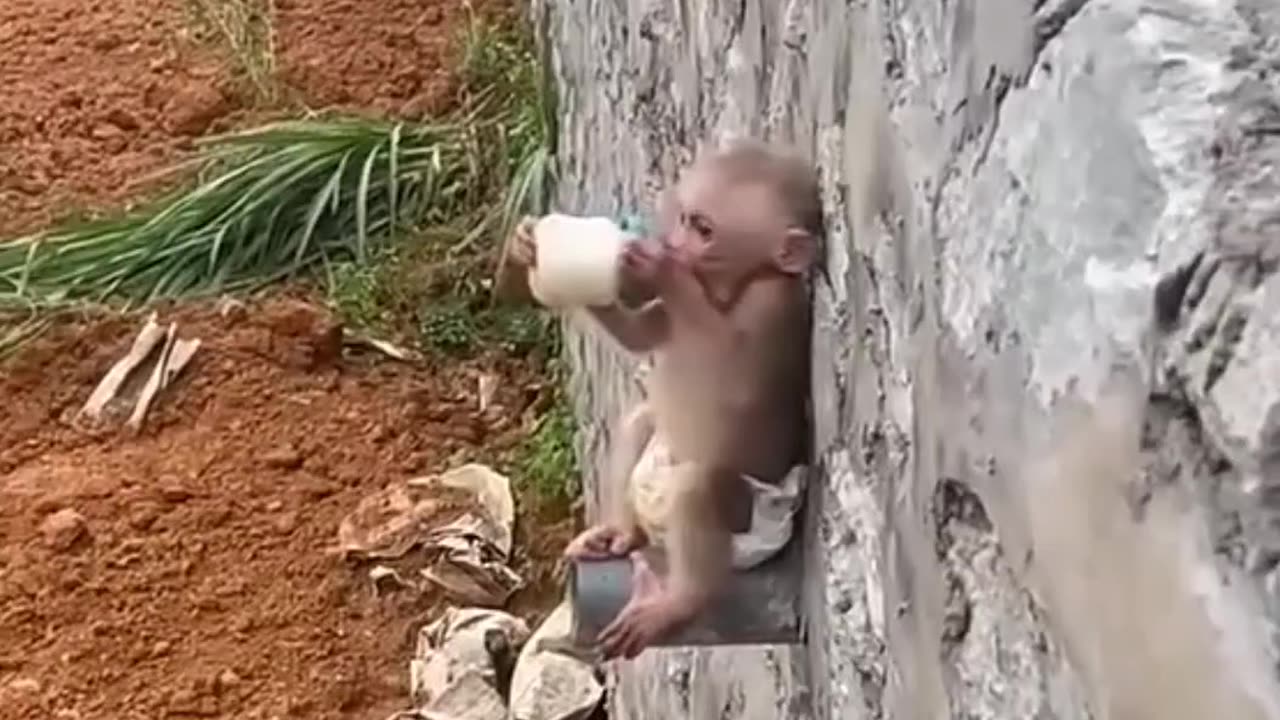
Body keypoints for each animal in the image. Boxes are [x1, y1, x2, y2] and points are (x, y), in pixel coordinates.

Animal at [506, 139, 822, 659]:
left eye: (703, 228)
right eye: (683, 219)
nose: (671, 243)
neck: (727, 287)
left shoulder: (774, 303)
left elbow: (732, 360)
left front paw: (658, 267)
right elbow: (641, 334)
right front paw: (527, 245)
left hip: (758, 518)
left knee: (697, 489)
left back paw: (678, 602)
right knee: (638, 422)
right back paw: (619, 534)